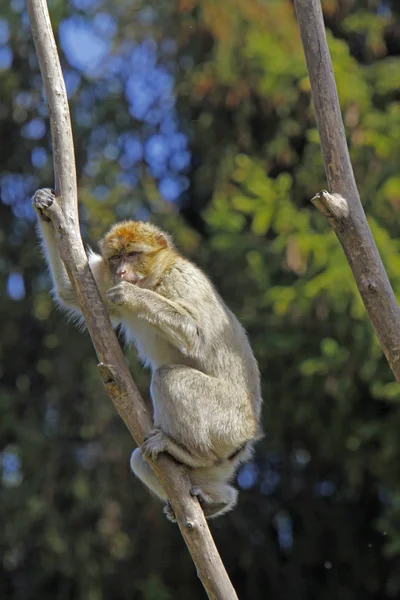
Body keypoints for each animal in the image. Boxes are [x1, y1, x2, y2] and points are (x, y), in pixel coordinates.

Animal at [33, 189, 262, 520]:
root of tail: (247, 437)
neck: (156, 279)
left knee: (170, 378)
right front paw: (46, 208)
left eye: (133, 255)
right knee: (141, 460)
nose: (122, 272)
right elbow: (72, 290)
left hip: (229, 420)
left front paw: (132, 295)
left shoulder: (180, 279)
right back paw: (216, 499)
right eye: (116, 257)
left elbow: (194, 334)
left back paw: (189, 453)